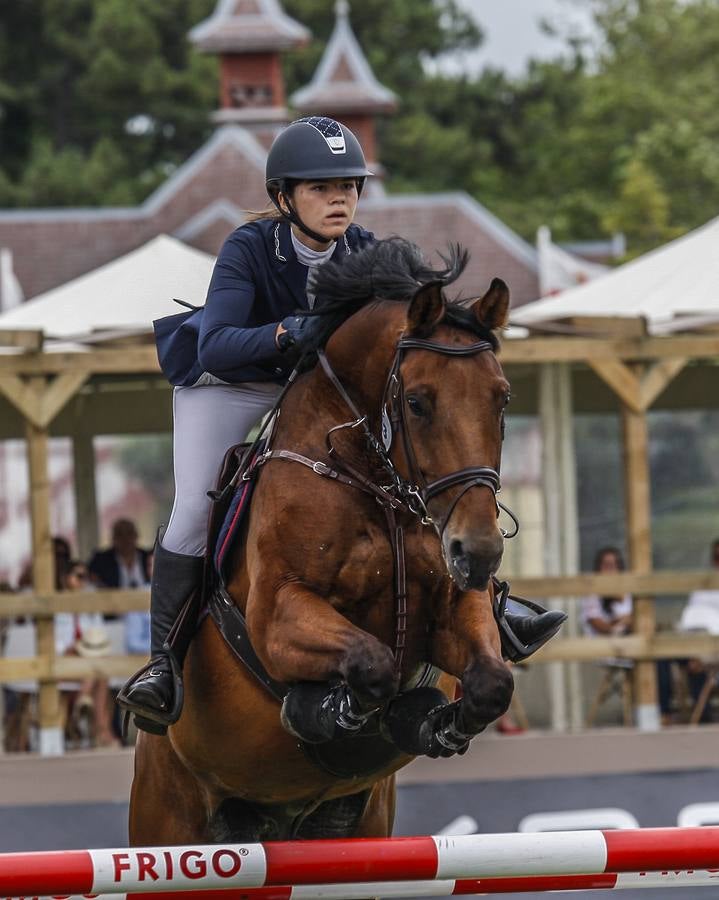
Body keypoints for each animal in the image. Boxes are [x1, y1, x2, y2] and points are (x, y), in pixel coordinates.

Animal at [129, 237, 524, 844]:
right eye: (417, 402)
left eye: (501, 399)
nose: (477, 552)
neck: (372, 484)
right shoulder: (277, 614)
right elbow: (371, 662)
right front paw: (324, 711)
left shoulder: (453, 604)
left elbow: (491, 682)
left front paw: (431, 723)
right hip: (168, 820)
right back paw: (156, 686)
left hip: (361, 824)